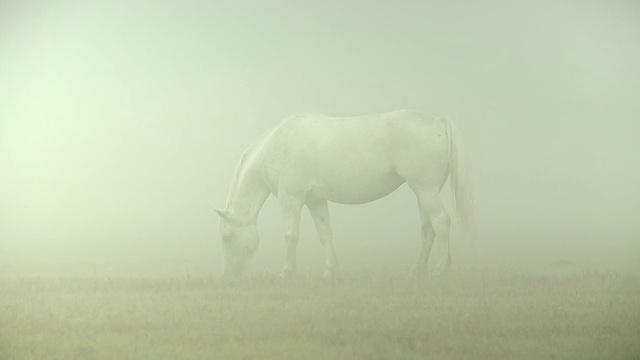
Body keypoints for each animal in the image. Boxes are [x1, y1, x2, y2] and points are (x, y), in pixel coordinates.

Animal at [218, 109, 472, 278]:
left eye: (227, 237)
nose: (229, 276)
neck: (276, 147)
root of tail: (437, 123)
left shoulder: (291, 198)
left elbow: (290, 234)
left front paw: (287, 271)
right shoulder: (316, 201)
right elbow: (325, 234)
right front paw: (331, 270)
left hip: (425, 190)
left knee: (441, 222)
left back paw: (439, 269)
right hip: (424, 192)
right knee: (428, 229)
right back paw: (420, 269)